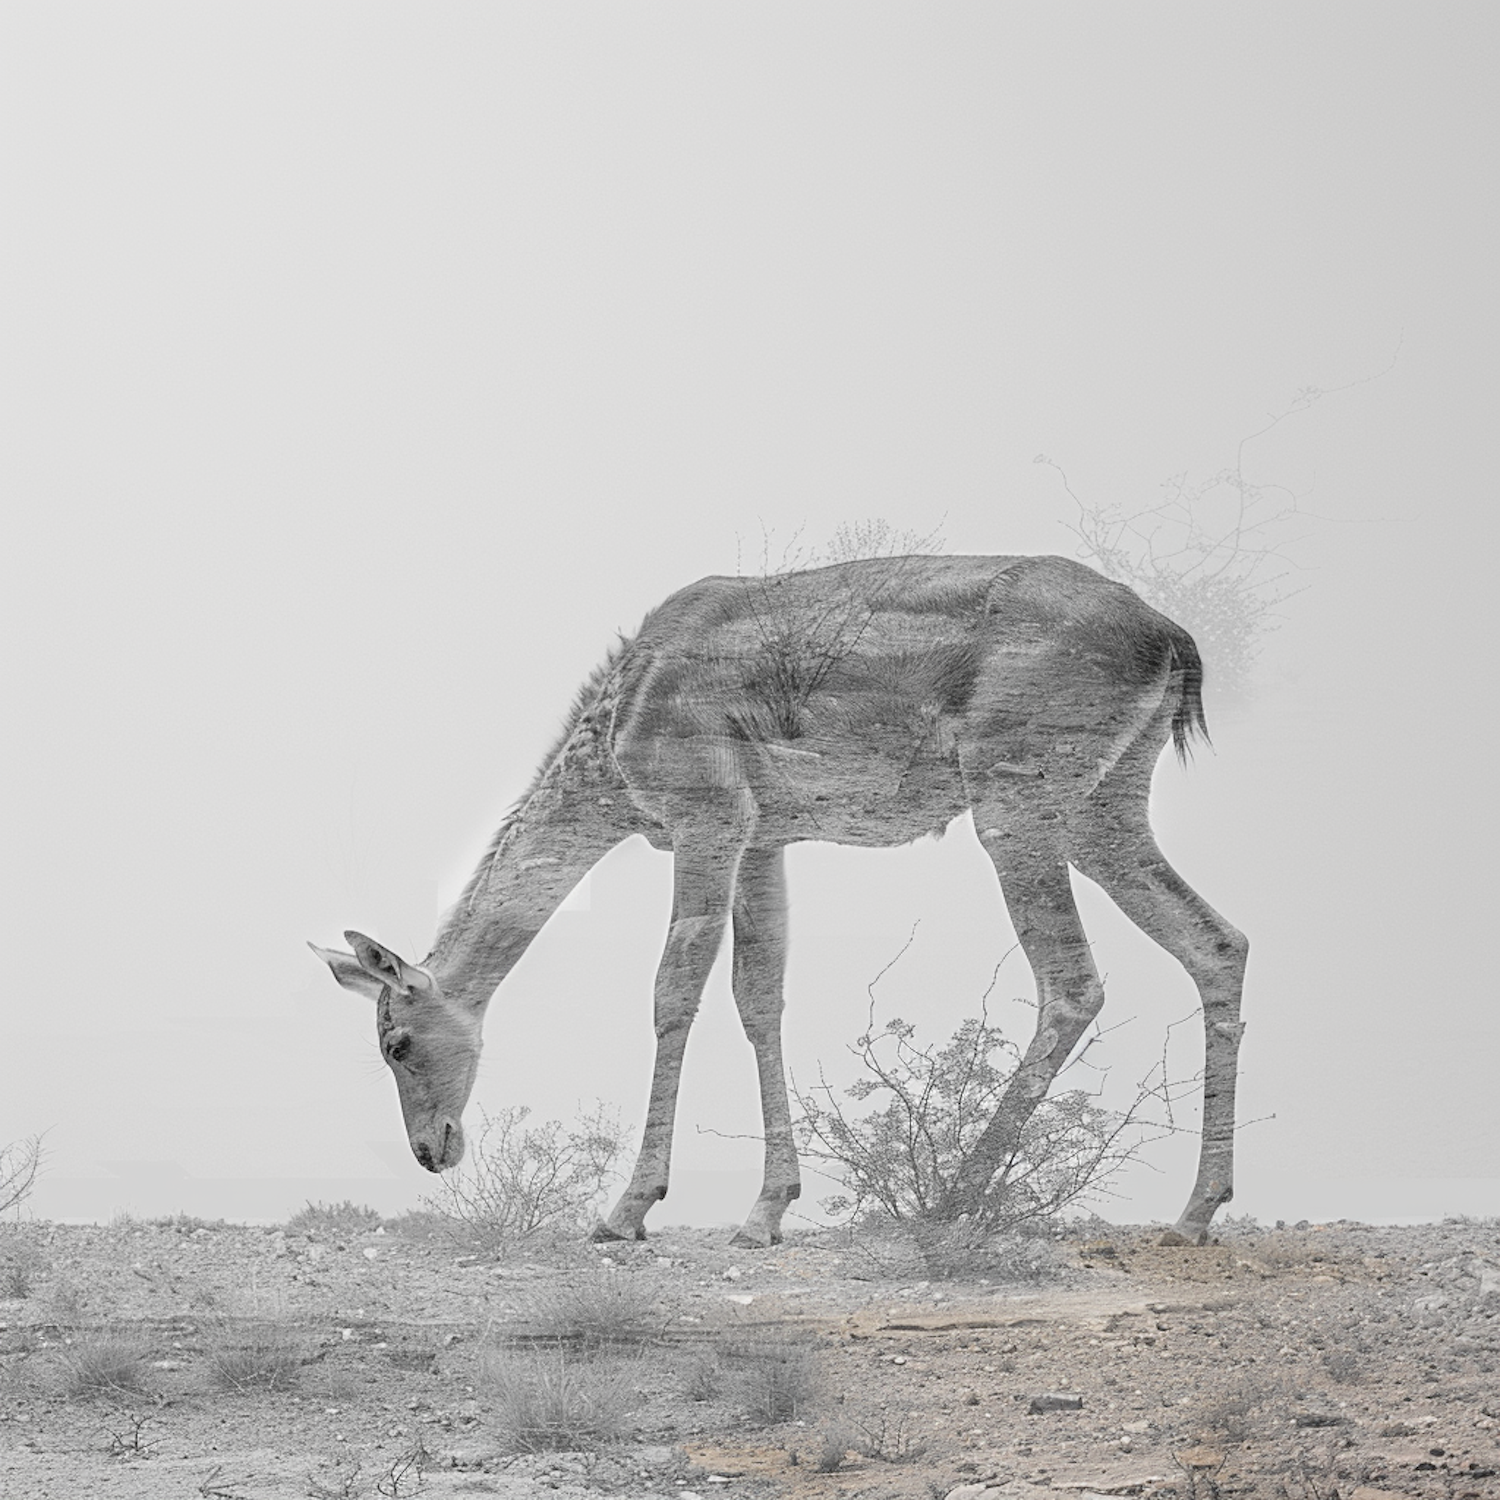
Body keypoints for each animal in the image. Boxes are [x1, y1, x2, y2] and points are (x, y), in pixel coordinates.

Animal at [313, 558, 1242, 1248]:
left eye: (395, 1041)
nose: (431, 1149)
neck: (618, 722)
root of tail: (1172, 639)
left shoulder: (708, 821)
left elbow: (673, 991)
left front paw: (627, 1211)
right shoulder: (766, 841)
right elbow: (760, 997)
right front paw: (764, 1213)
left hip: (1016, 810)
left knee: (1073, 981)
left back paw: (955, 1198)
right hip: (1102, 811)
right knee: (1218, 941)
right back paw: (1193, 1214)